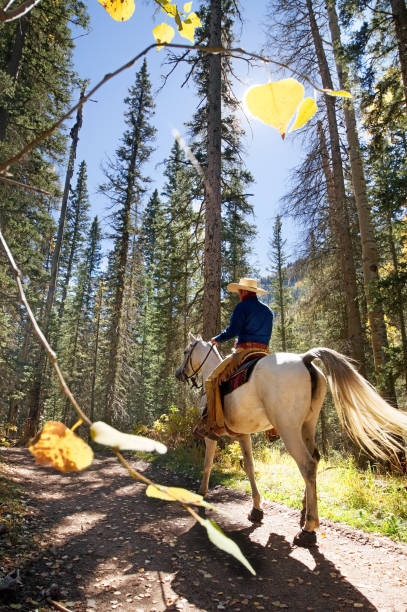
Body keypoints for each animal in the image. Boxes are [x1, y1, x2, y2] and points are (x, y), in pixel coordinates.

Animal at [175, 332, 407, 548]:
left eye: (186, 351)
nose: (179, 373)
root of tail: (305, 359)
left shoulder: (211, 436)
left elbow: (208, 463)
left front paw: (202, 493)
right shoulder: (244, 434)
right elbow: (250, 467)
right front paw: (256, 509)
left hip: (289, 429)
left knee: (307, 464)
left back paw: (308, 529)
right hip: (307, 425)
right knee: (314, 460)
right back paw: (304, 511)